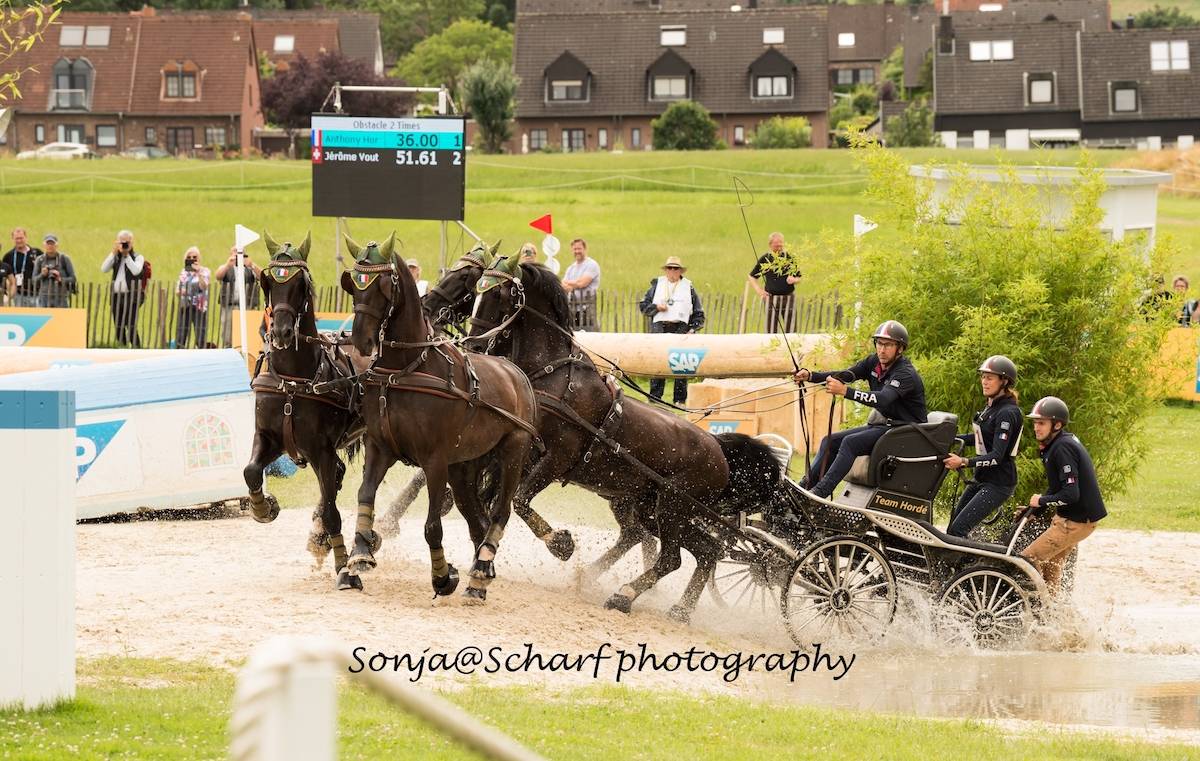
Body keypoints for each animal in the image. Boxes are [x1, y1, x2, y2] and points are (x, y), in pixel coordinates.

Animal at [246, 229, 367, 585]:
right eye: (268, 281)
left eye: (301, 284)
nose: (281, 332)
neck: (292, 380)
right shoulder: (269, 437)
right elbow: (251, 471)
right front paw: (264, 508)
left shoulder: (320, 450)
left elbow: (332, 511)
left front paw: (344, 567)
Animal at [340, 231, 542, 597]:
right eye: (355, 286)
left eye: (382, 287)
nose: (361, 340)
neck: (405, 369)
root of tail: (516, 373)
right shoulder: (380, 447)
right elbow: (365, 495)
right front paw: (360, 553)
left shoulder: (434, 460)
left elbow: (432, 525)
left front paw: (443, 575)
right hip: (464, 467)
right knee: (476, 519)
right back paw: (481, 570)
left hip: (513, 451)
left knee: (500, 513)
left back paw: (479, 573)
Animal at [468, 254, 777, 624]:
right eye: (475, 290)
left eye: (497, 294)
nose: (473, 345)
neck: (555, 377)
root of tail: (719, 450)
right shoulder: (522, 455)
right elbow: (494, 500)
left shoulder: (556, 457)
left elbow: (520, 501)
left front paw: (560, 544)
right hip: (656, 509)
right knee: (706, 549)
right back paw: (678, 609)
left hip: (672, 506)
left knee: (672, 557)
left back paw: (624, 595)